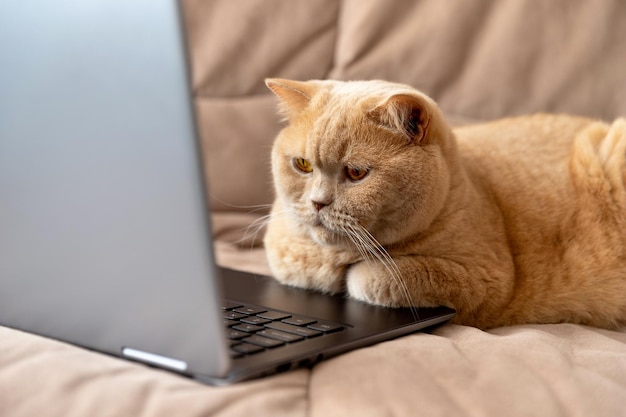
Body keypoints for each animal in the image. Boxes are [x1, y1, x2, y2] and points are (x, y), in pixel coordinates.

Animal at [260, 77, 624, 328]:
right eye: (303, 165)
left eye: (356, 173)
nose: (317, 202)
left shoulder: (485, 278)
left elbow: (373, 277)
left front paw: (355, 276)